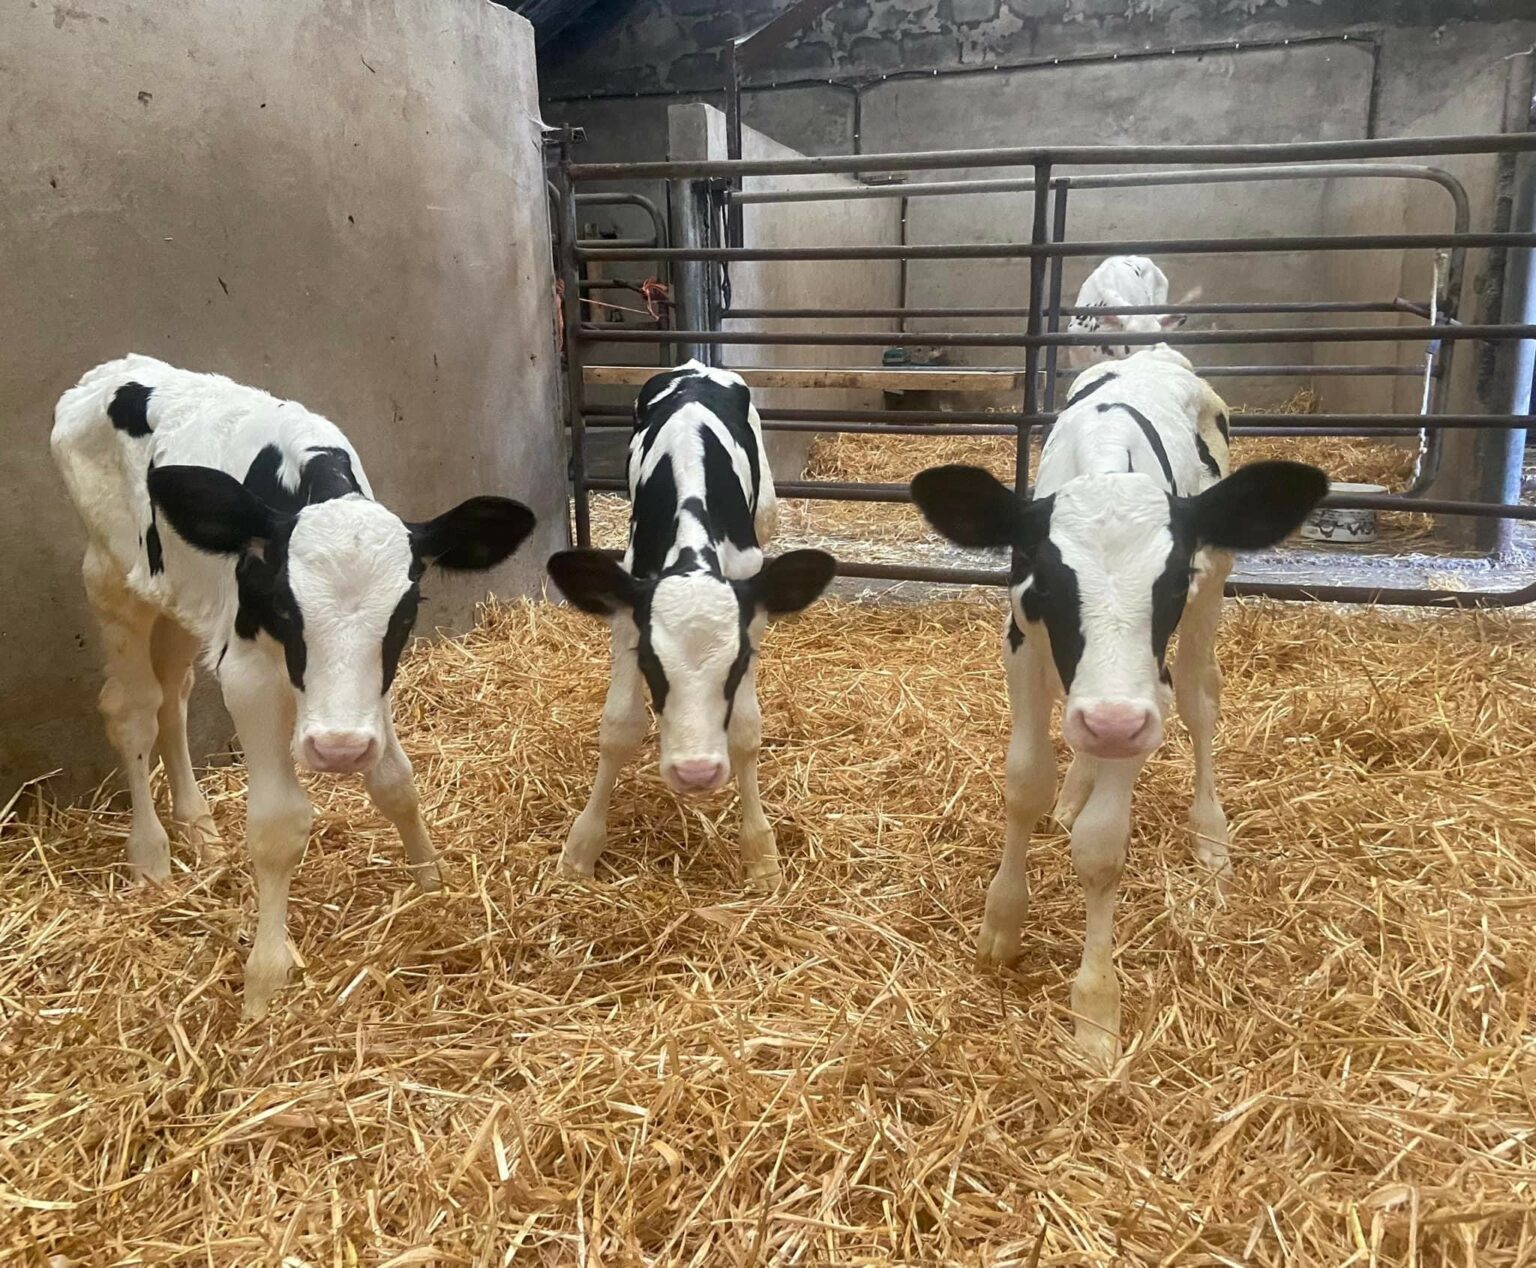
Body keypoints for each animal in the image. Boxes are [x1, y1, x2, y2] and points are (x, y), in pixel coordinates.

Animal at [52, 355, 537, 1017]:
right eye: (284, 606)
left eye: (406, 614)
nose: (337, 750)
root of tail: (113, 370)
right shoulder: (250, 673)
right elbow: (279, 824)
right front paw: (264, 976)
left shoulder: (371, 686)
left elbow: (395, 782)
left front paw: (431, 882)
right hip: (110, 577)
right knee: (132, 710)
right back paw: (150, 854)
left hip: (177, 592)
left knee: (173, 698)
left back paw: (200, 832)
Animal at [546, 361, 835, 891]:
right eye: (649, 665)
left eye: (738, 665)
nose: (696, 773)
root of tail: (697, 367)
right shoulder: (629, 608)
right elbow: (619, 727)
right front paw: (581, 848)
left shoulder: (750, 604)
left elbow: (744, 728)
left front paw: (760, 852)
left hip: (767, 512)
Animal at [910, 347, 1326, 1068]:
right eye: (1047, 582)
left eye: (1171, 582)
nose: (1110, 722)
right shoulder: (1022, 641)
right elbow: (1025, 783)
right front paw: (1003, 922)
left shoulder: (1144, 695)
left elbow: (1102, 846)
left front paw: (1095, 1008)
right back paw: (1075, 789)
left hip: (1211, 601)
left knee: (1200, 699)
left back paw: (1209, 834)